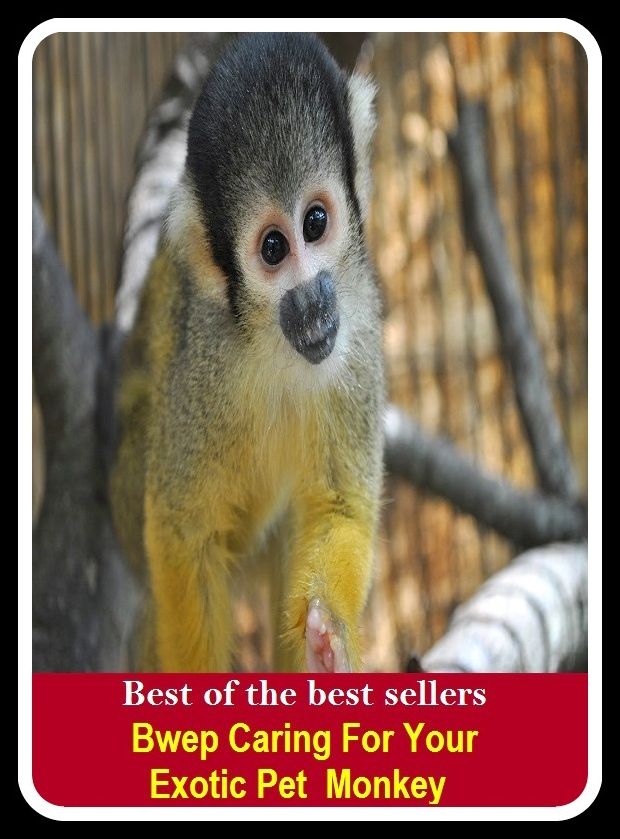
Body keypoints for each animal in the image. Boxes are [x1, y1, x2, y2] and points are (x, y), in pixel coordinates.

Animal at [110, 32, 384, 673]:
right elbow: (183, 531)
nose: (310, 300)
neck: (276, 345)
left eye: (315, 222)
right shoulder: (204, 363)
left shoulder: (357, 326)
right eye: (273, 248)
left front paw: (328, 639)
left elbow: (339, 506)